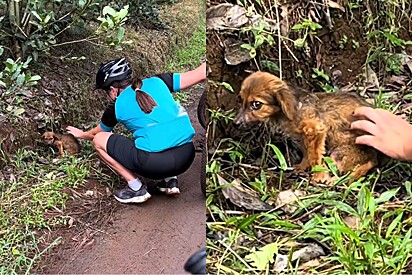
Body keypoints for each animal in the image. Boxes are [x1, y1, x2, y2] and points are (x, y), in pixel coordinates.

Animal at [235, 71, 380, 183]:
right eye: (240, 100)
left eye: (256, 104)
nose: (235, 123)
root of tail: (374, 159)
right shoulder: (302, 136)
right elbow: (306, 152)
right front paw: (302, 166)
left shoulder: (315, 130)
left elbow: (315, 157)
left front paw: (318, 176)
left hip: (338, 153)